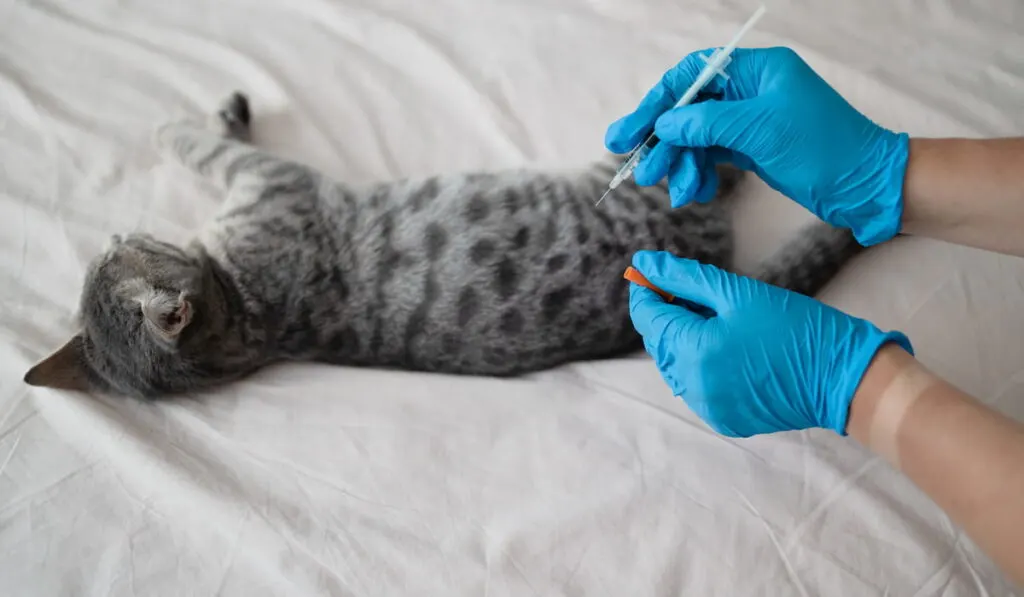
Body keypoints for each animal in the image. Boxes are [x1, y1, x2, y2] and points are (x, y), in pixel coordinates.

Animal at [22, 93, 864, 399]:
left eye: (117, 244)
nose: (118, 231)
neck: (243, 312)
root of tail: (703, 272)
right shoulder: (271, 184)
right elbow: (188, 139)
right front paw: (189, 120)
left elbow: (200, 136)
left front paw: (217, 111)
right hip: (646, 178)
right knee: (713, 161)